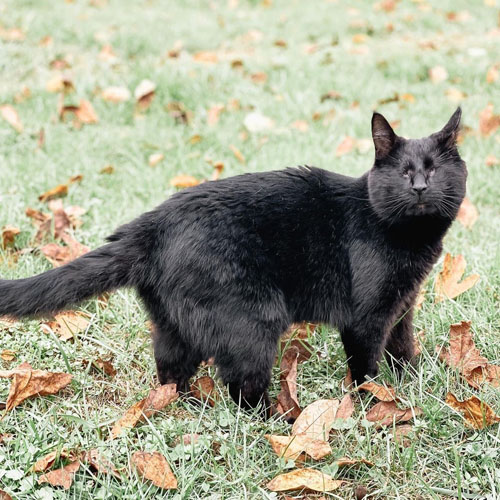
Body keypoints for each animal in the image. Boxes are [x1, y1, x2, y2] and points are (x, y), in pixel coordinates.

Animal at [1, 108, 466, 418]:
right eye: (404, 173)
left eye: (433, 171)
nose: (420, 187)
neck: (409, 238)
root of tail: (151, 223)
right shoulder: (365, 318)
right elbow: (366, 367)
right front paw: (376, 403)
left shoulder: (403, 304)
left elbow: (402, 346)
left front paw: (408, 381)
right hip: (253, 320)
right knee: (242, 391)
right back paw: (280, 421)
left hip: (175, 322)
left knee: (169, 369)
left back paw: (185, 405)